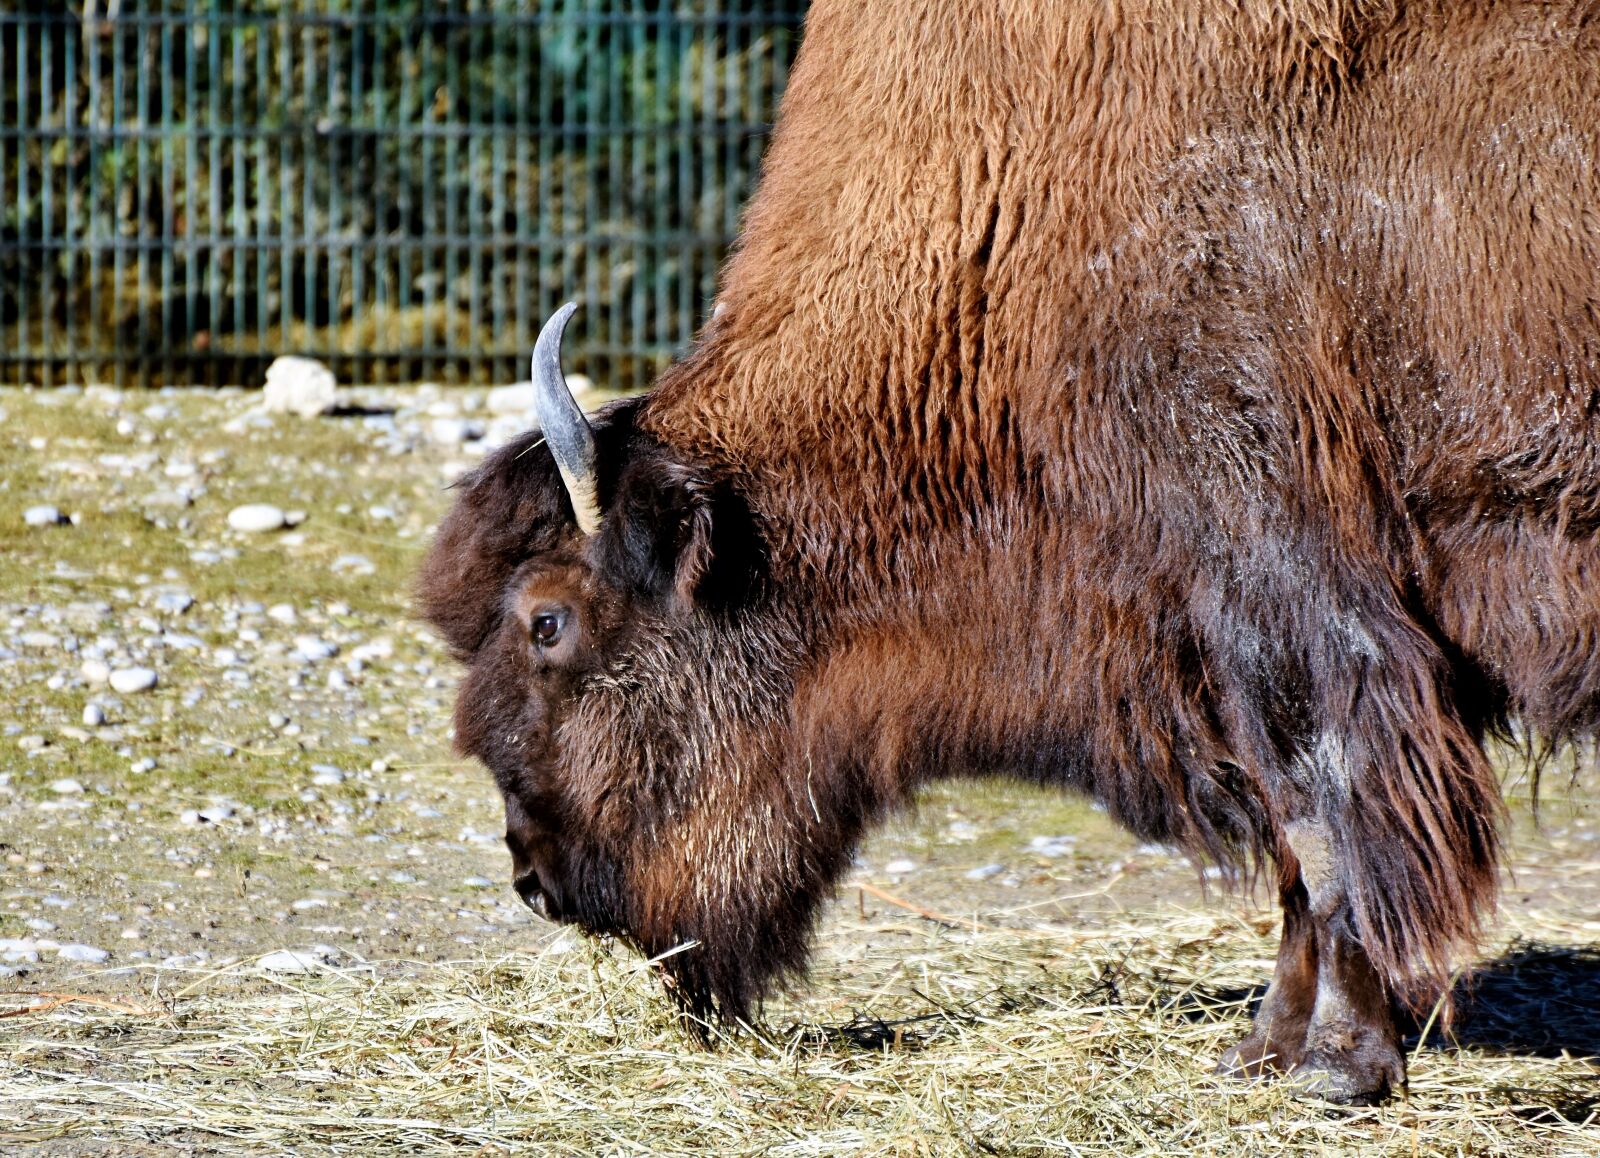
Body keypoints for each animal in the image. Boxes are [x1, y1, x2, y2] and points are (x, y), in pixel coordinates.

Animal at [419, 0, 1600, 1103]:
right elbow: (1289, 849)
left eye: (548, 621)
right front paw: (1260, 1051)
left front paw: (1331, 1063)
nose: (534, 876)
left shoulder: (1278, 581)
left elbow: (1320, 819)